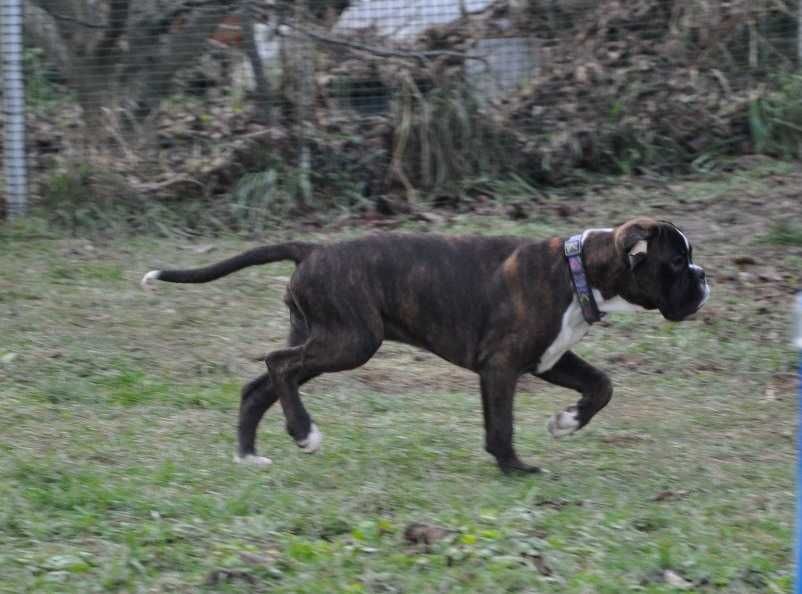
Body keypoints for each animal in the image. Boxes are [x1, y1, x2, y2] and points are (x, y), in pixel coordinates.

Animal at [142, 217, 708, 472]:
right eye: (677, 262)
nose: (705, 278)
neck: (579, 270)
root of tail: (313, 249)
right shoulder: (500, 366)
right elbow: (501, 424)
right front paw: (515, 468)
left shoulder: (549, 359)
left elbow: (602, 386)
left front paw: (566, 422)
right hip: (350, 341)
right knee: (276, 364)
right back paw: (304, 433)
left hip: (324, 339)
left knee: (258, 386)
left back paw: (249, 455)